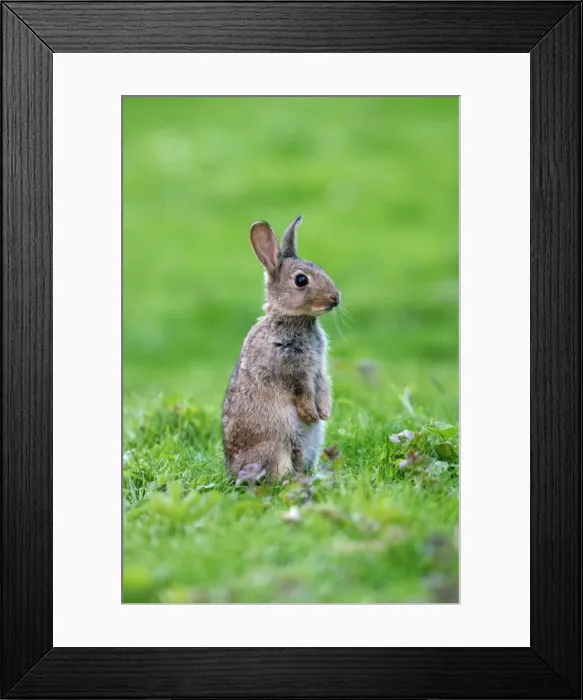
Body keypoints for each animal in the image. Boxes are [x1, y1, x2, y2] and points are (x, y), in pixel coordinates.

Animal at [222, 215, 340, 482]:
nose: (335, 298)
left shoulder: (318, 368)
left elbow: (323, 385)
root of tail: (234, 470)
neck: (292, 319)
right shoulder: (290, 369)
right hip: (276, 446)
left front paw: (325, 413)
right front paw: (311, 414)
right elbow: (302, 391)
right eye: (301, 280)